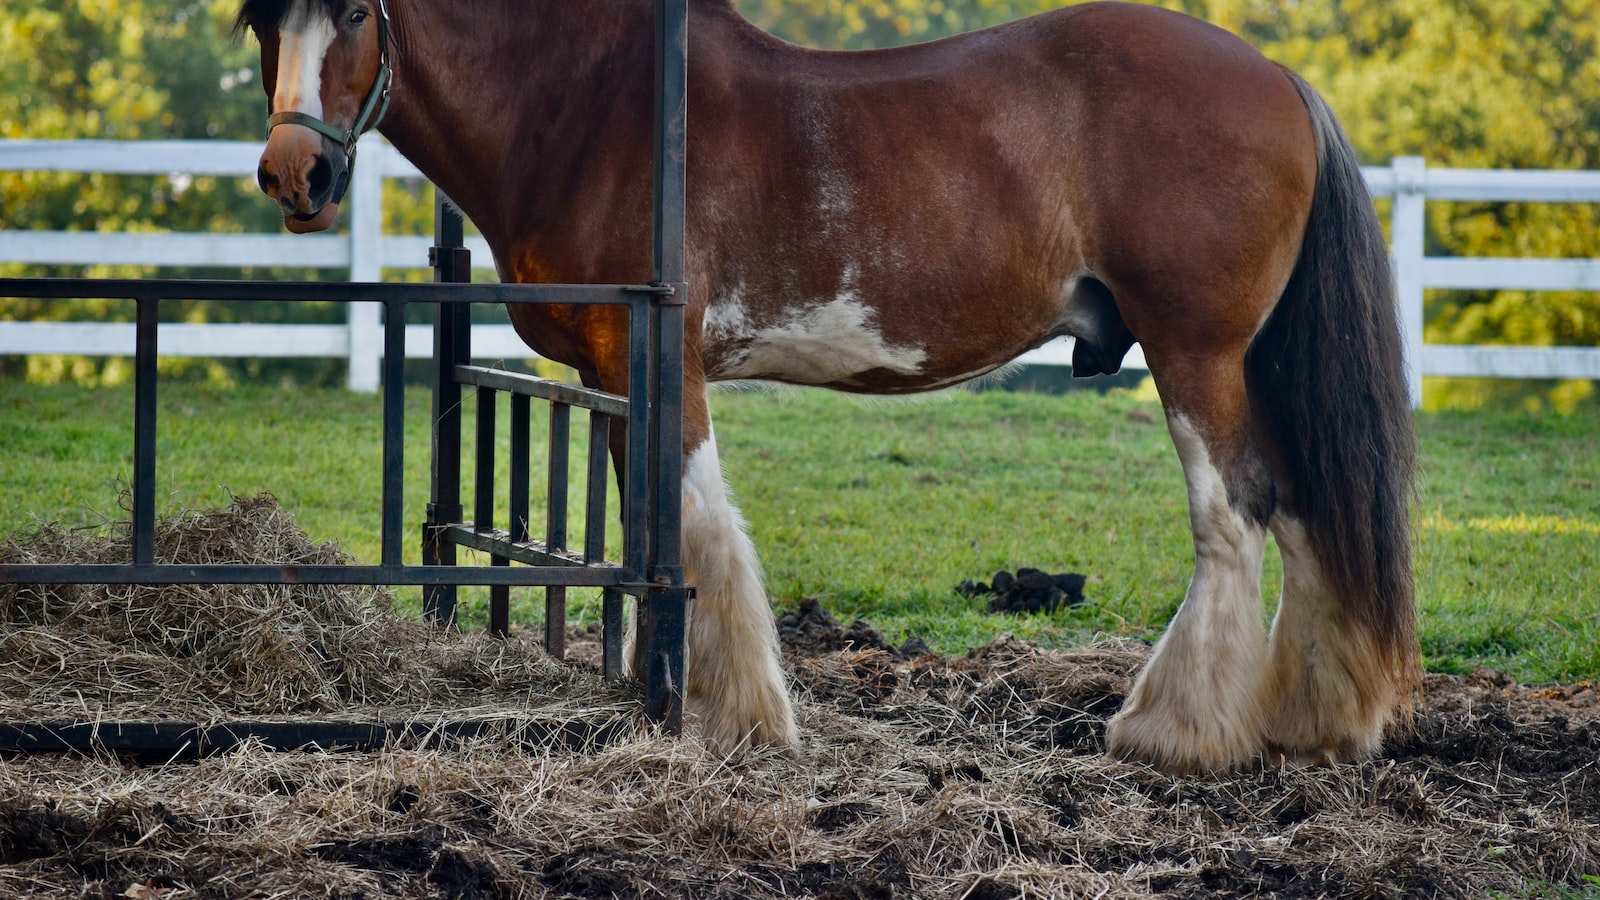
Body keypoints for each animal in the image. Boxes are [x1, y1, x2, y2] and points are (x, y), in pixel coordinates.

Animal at [233, 0, 1414, 771]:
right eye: (260, 19)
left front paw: (733, 714)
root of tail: (1279, 80)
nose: (297, 177)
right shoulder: (612, 369)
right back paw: (1313, 722)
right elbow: (641, 524)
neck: (589, 108)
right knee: (1306, 509)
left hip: (1197, 352)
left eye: (353, 10)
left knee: (1237, 512)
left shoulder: (665, 360)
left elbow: (696, 528)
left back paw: (1177, 731)